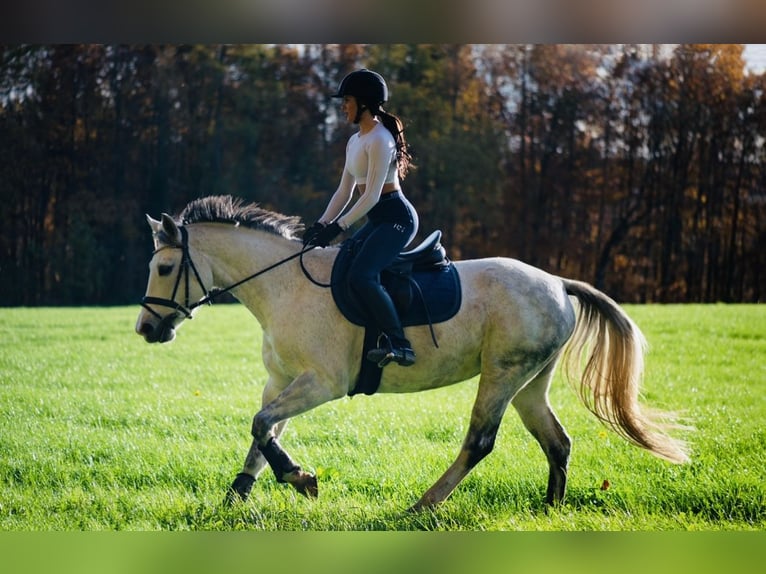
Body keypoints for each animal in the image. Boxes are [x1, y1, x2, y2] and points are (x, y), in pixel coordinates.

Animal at [136, 196, 688, 510]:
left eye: (163, 269)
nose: (145, 329)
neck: (284, 285)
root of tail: (556, 281)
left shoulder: (322, 383)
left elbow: (261, 425)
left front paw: (301, 479)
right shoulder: (283, 380)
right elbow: (262, 431)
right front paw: (236, 497)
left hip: (502, 374)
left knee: (480, 441)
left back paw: (423, 506)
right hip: (530, 382)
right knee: (557, 442)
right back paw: (551, 510)